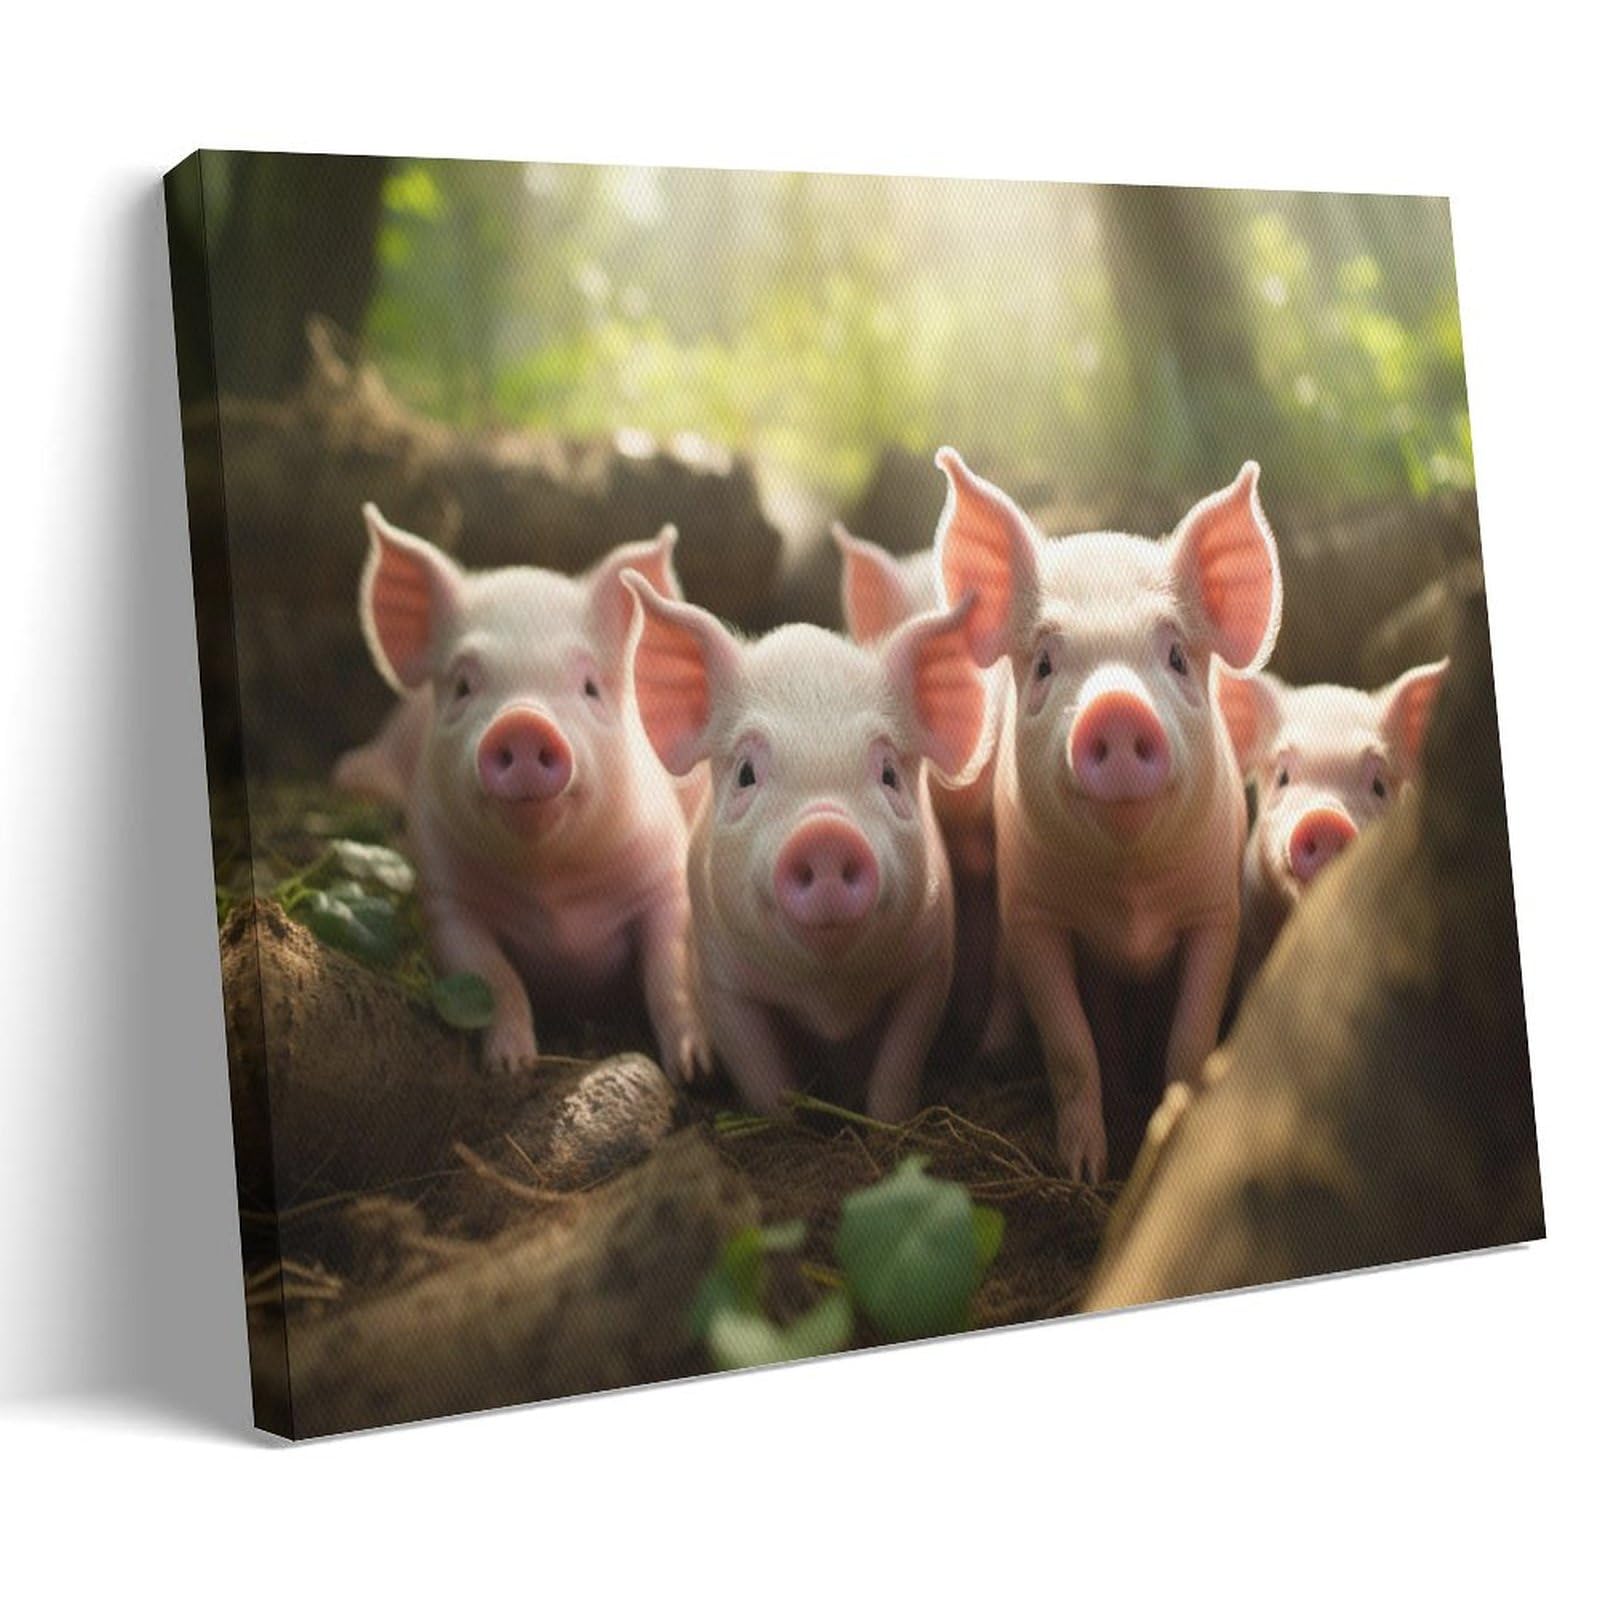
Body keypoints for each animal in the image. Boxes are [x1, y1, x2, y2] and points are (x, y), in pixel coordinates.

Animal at [333, 505, 708, 1082]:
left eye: (590, 687)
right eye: (463, 686)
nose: (524, 723)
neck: (551, 887)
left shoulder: (663, 880)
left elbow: (670, 972)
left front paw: (695, 1068)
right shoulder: (446, 900)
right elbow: (494, 977)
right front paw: (510, 1066)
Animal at [622, 572, 989, 1121]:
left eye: (888, 773)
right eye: (746, 773)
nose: (826, 833)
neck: (828, 994)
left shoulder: (929, 962)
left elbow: (900, 1062)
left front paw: (885, 1122)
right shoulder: (722, 980)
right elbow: (760, 1073)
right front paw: (783, 1123)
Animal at [936, 448, 1282, 1180]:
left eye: (1176, 655)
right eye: (1043, 662)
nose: (1116, 708)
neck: (1131, 899)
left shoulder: (1215, 913)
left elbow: (1191, 1039)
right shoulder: (1033, 915)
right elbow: (1071, 1045)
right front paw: (1084, 1171)